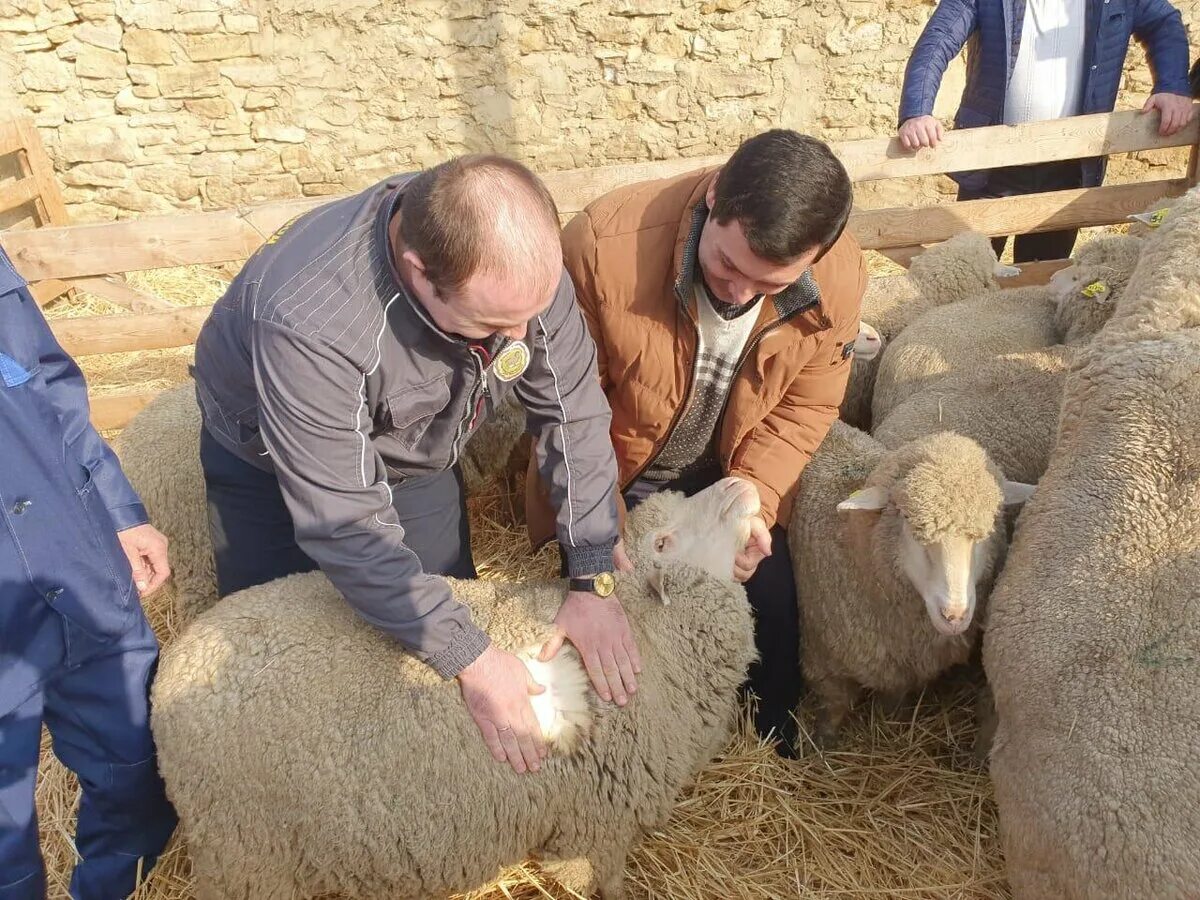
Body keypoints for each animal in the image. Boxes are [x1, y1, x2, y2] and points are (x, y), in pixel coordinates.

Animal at [152, 475, 758, 897]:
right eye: (664, 541)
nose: (742, 483)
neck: (648, 641)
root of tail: (174, 668)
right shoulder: (595, 825)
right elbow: (598, 881)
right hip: (247, 853)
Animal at [787, 422, 1032, 748]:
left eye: (991, 523)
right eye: (905, 516)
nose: (954, 615)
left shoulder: (899, 670)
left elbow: (893, 703)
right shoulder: (820, 659)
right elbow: (834, 708)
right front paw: (822, 745)